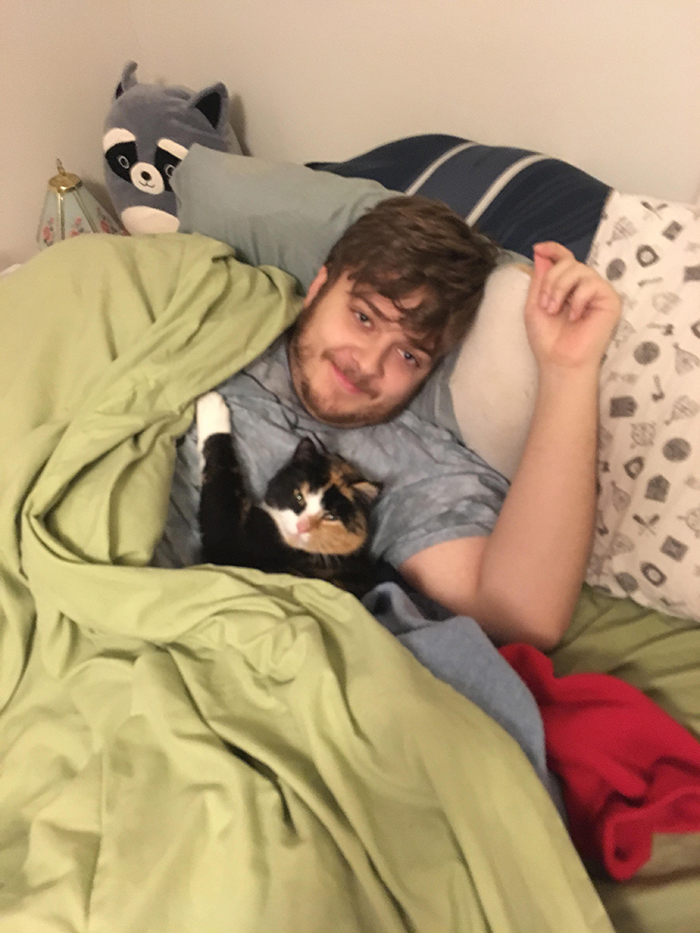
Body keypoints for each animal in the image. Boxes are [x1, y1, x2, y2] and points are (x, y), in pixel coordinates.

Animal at [196, 392, 382, 596]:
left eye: (331, 516)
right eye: (299, 495)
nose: (302, 526)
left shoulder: (229, 545)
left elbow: (222, 479)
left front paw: (211, 403)